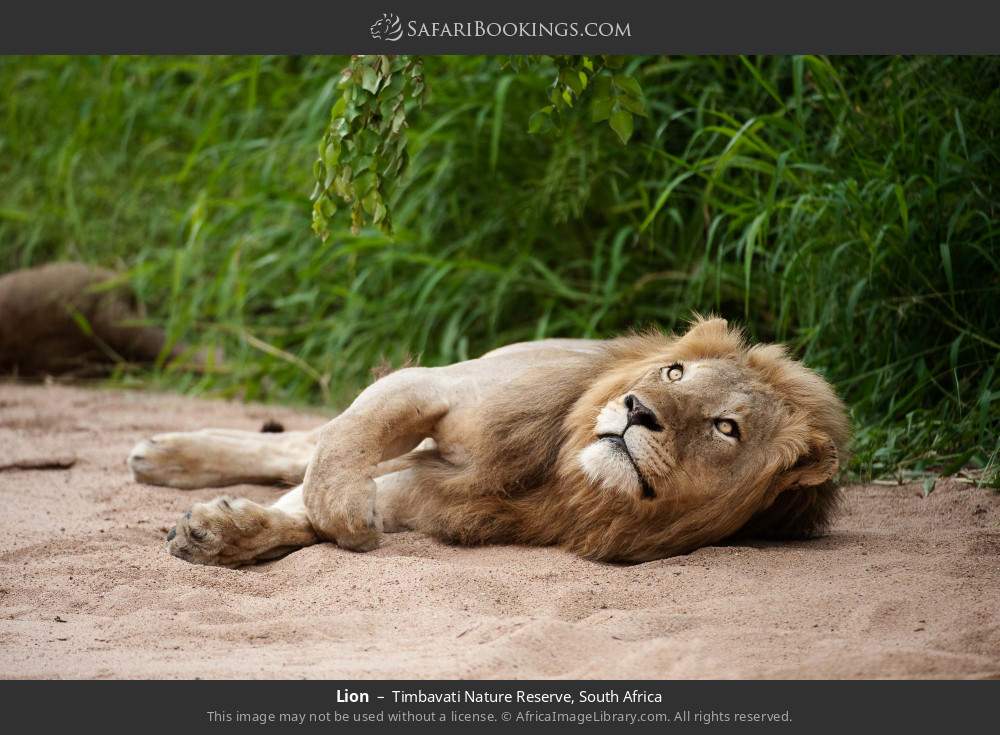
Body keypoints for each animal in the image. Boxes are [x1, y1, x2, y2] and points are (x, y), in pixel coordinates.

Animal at [128, 317, 850, 567]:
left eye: (725, 426)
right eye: (674, 373)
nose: (638, 410)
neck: (569, 479)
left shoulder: (426, 491)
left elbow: (298, 511)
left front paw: (223, 534)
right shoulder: (436, 387)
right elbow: (339, 456)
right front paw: (344, 516)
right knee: (307, 443)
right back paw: (160, 453)